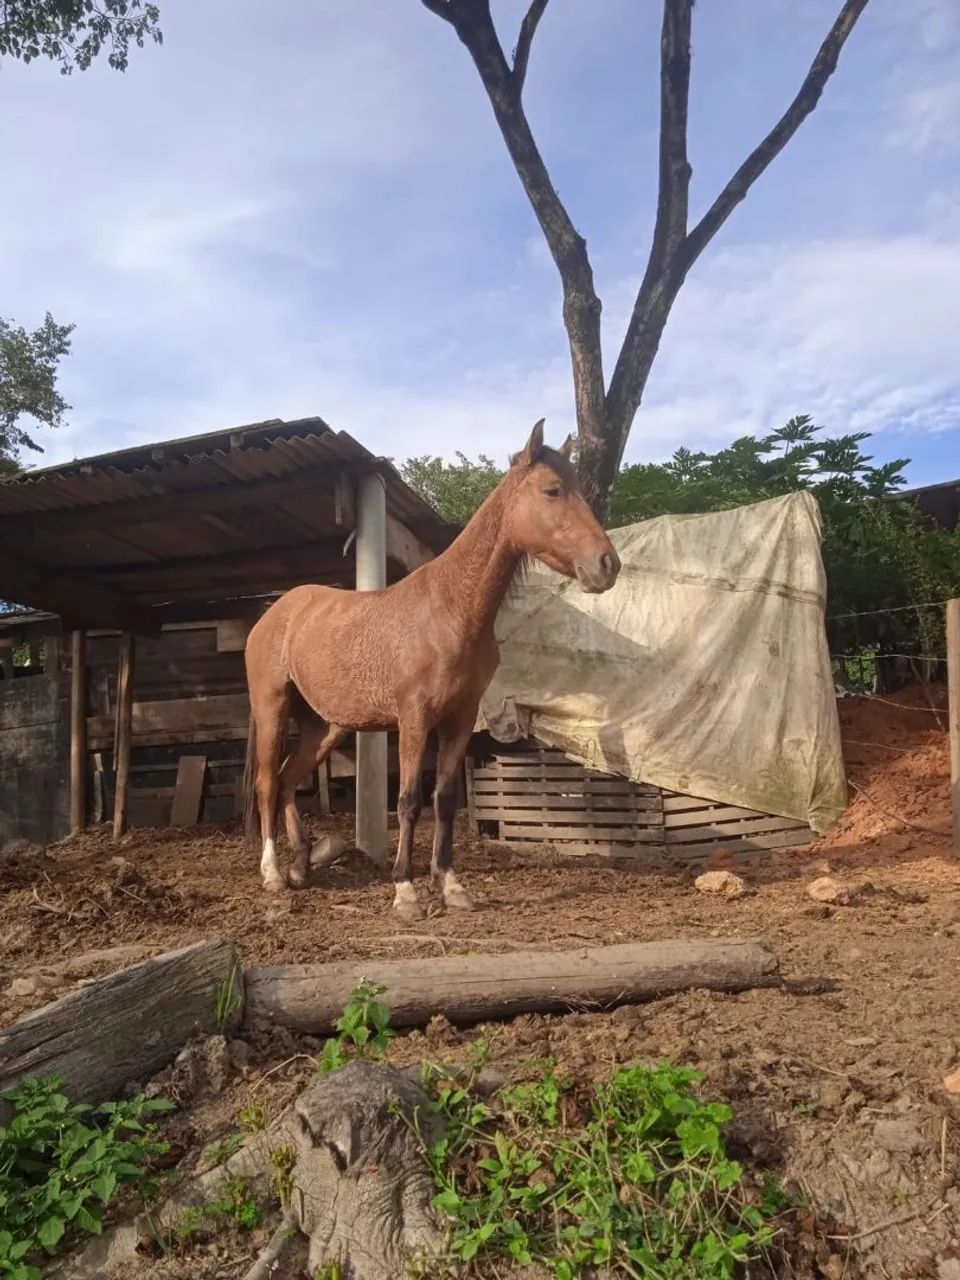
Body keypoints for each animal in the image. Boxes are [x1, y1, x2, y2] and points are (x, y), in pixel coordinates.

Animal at [241, 420, 621, 922]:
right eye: (553, 490)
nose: (607, 565)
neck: (451, 608)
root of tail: (274, 613)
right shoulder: (415, 719)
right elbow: (407, 802)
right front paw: (406, 892)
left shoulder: (458, 720)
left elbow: (444, 801)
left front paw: (452, 886)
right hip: (273, 708)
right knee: (268, 783)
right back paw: (273, 875)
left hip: (324, 726)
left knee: (287, 781)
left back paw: (301, 867)